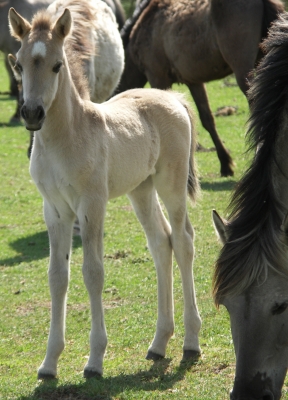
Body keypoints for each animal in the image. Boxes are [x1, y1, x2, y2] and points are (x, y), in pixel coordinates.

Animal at [9, 6, 202, 376]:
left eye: (57, 65)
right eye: (18, 65)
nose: (32, 113)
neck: (67, 137)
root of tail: (172, 97)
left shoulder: (91, 205)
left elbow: (93, 272)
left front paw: (95, 360)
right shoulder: (54, 210)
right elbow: (57, 276)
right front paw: (49, 363)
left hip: (170, 184)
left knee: (184, 239)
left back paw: (190, 341)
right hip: (141, 189)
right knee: (161, 242)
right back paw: (158, 343)